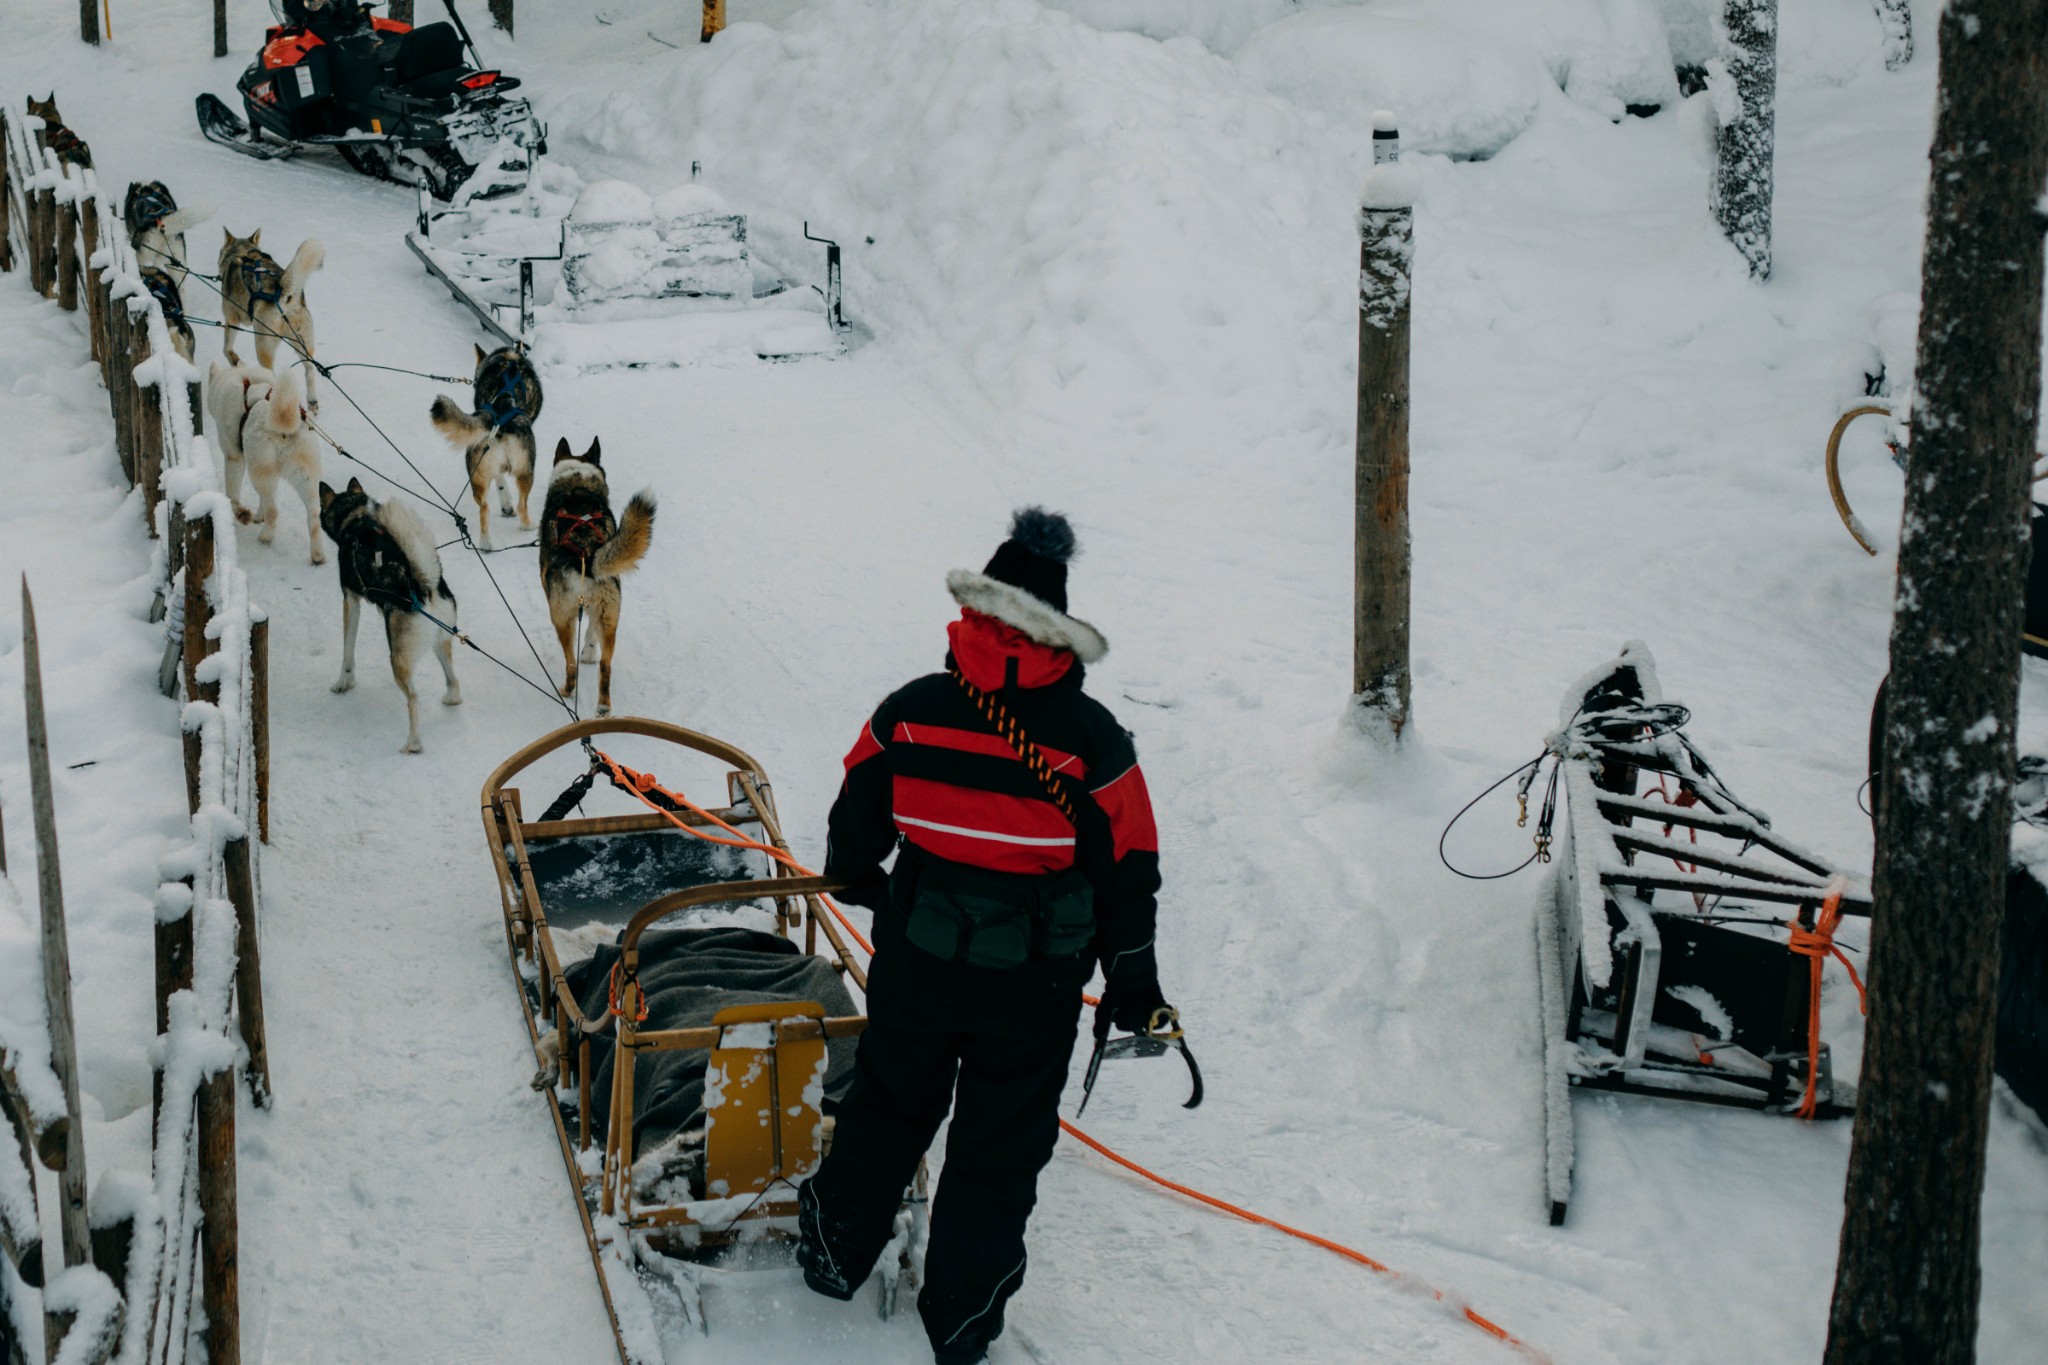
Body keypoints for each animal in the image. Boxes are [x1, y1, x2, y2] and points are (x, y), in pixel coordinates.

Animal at [205, 358, 325, 564]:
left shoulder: (234, 455)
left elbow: (232, 493)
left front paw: (241, 512)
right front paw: (258, 516)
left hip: (259, 470)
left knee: (273, 511)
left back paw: (265, 536)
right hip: (304, 476)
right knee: (313, 516)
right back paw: (317, 555)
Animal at [217, 229, 323, 409]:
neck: (243, 253)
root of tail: (286, 296)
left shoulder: (232, 320)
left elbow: (227, 349)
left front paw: (234, 360)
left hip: (263, 345)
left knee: (271, 377)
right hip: (303, 345)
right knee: (309, 369)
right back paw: (312, 401)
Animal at [315, 480, 464, 757]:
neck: (357, 518)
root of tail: (425, 586)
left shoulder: (350, 601)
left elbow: (347, 651)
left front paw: (344, 682)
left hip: (399, 659)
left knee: (414, 698)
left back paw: (413, 743)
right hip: (440, 642)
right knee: (453, 680)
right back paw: (451, 699)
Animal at [425, 343, 540, 548]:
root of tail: (500, 411)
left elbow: (500, 481)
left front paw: (505, 504)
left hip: (477, 473)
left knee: (484, 508)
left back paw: (485, 544)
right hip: (527, 471)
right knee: (522, 505)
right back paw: (528, 526)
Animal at [540, 439, 651, 720]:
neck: (578, 480)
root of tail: (586, 554)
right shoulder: (594, 610)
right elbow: (591, 634)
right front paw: (589, 652)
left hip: (562, 618)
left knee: (570, 664)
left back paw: (566, 691)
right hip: (610, 613)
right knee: (605, 664)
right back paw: (603, 707)